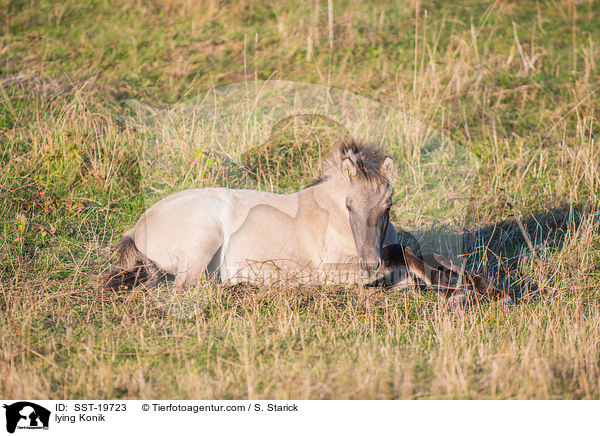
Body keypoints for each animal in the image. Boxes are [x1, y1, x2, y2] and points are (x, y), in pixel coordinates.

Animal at [103, 140, 510, 304]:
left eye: (389, 205)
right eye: (348, 205)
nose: (368, 262)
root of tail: (137, 227)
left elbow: (421, 255)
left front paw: (490, 289)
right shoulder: (339, 272)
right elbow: (403, 258)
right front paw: (447, 290)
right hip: (205, 238)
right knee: (188, 289)